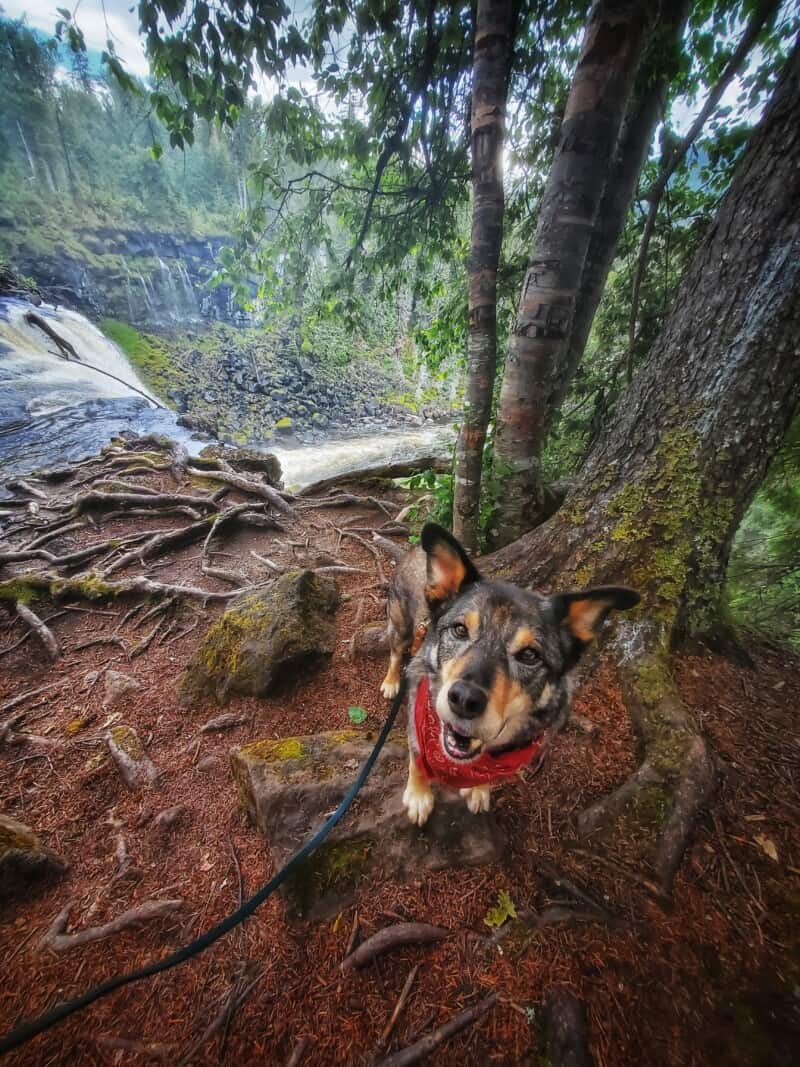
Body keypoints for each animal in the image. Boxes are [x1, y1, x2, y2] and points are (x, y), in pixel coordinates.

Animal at [381, 522, 640, 823]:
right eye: (459, 629)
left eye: (530, 655)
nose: (464, 700)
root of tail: (414, 549)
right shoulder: (417, 714)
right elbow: (416, 757)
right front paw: (419, 795)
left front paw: (479, 790)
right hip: (400, 625)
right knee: (396, 652)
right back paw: (391, 681)